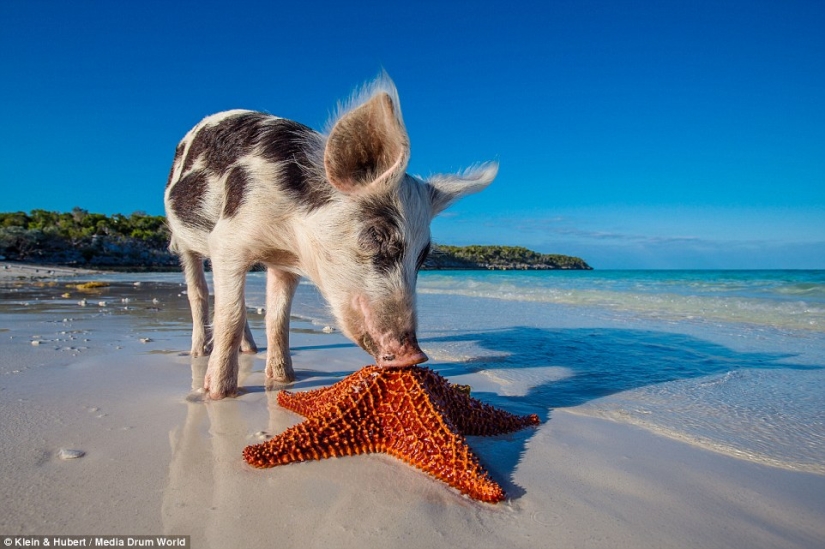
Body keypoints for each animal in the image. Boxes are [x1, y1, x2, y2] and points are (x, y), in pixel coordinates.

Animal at [164, 74, 497, 399]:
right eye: (376, 234)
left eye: (424, 255)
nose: (416, 356)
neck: (284, 234)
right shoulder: (227, 241)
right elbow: (230, 316)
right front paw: (219, 394)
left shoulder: (283, 264)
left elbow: (278, 318)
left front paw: (284, 380)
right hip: (184, 242)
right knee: (199, 293)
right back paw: (198, 352)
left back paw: (251, 350)